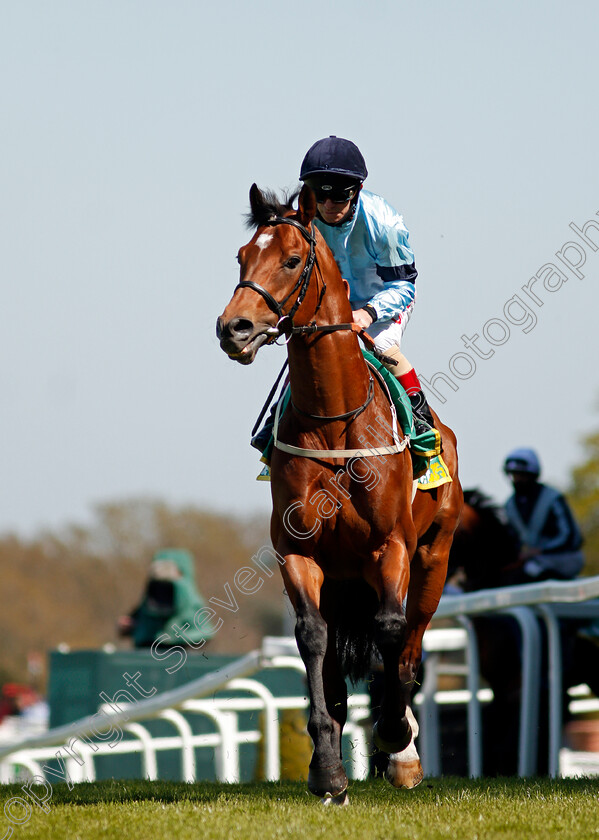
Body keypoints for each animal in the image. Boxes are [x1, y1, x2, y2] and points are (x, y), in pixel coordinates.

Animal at [217, 184, 464, 800]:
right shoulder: (299, 552)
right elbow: (312, 641)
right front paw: (328, 770)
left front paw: (396, 737)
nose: (233, 328)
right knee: (334, 662)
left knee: (410, 642)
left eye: (291, 260)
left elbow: (391, 634)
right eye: (241, 257)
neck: (334, 420)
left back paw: (403, 753)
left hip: (434, 559)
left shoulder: (390, 546)